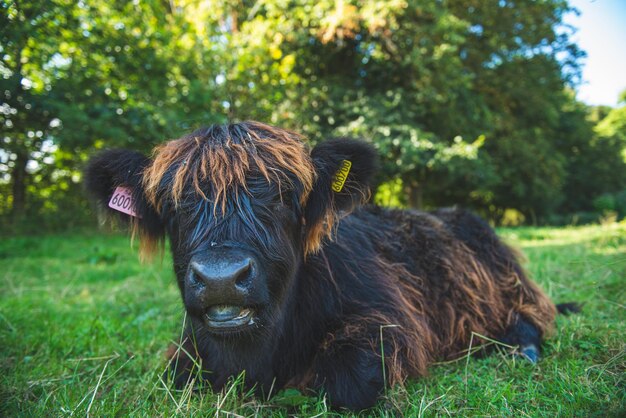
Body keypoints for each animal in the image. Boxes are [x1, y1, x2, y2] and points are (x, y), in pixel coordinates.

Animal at [85, 121, 560, 412]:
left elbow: (348, 382)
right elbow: (177, 376)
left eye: (281, 196)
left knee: (530, 315)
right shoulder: (186, 353)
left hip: (504, 285)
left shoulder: (392, 321)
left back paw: (522, 351)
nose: (221, 277)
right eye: (175, 205)